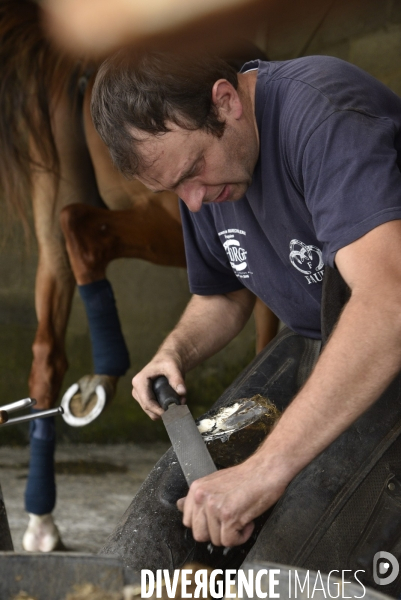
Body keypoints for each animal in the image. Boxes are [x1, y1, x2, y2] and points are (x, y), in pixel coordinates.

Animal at [0, 0, 278, 552]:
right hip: (170, 213)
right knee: (84, 227)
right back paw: (105, 372)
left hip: (56, 201)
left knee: (46, 351)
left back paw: (42, 520)